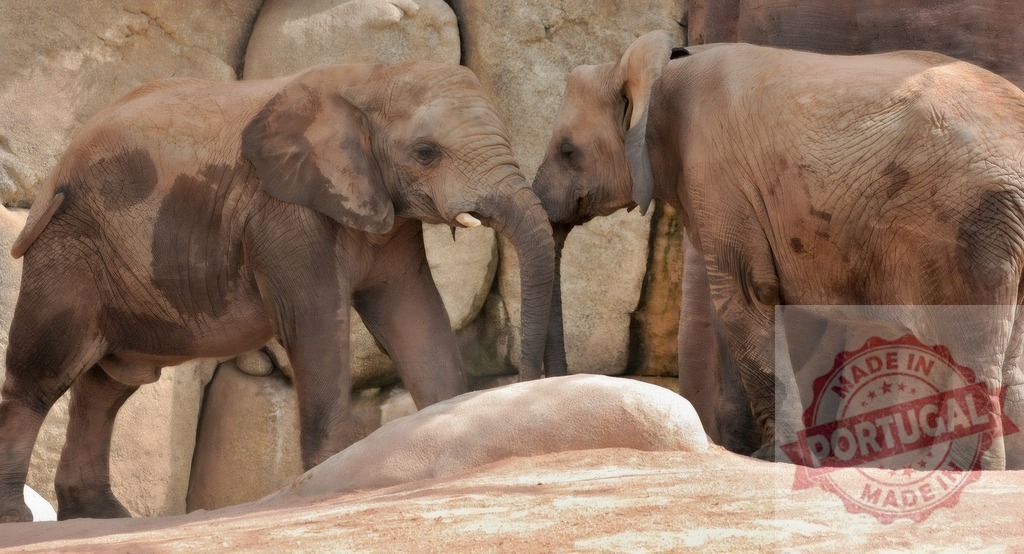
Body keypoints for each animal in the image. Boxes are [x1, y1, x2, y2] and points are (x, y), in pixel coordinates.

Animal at [0, 60, 555, 522]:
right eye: (426, 153)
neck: (372, 76)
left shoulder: (386, 213)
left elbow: (415, 316)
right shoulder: (284, 213)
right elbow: (316, 322)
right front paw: (329, 483)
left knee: (107, 386)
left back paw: (99, 517)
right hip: (67, 246)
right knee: (42, 374)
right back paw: (19, 518)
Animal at [532, 30, 1024, 468]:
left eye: (567, 151)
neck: (662, 68)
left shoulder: (718, 175)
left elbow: (744, 299)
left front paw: (773, 457)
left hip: (970, 222)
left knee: (970, 343)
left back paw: (959, 470)